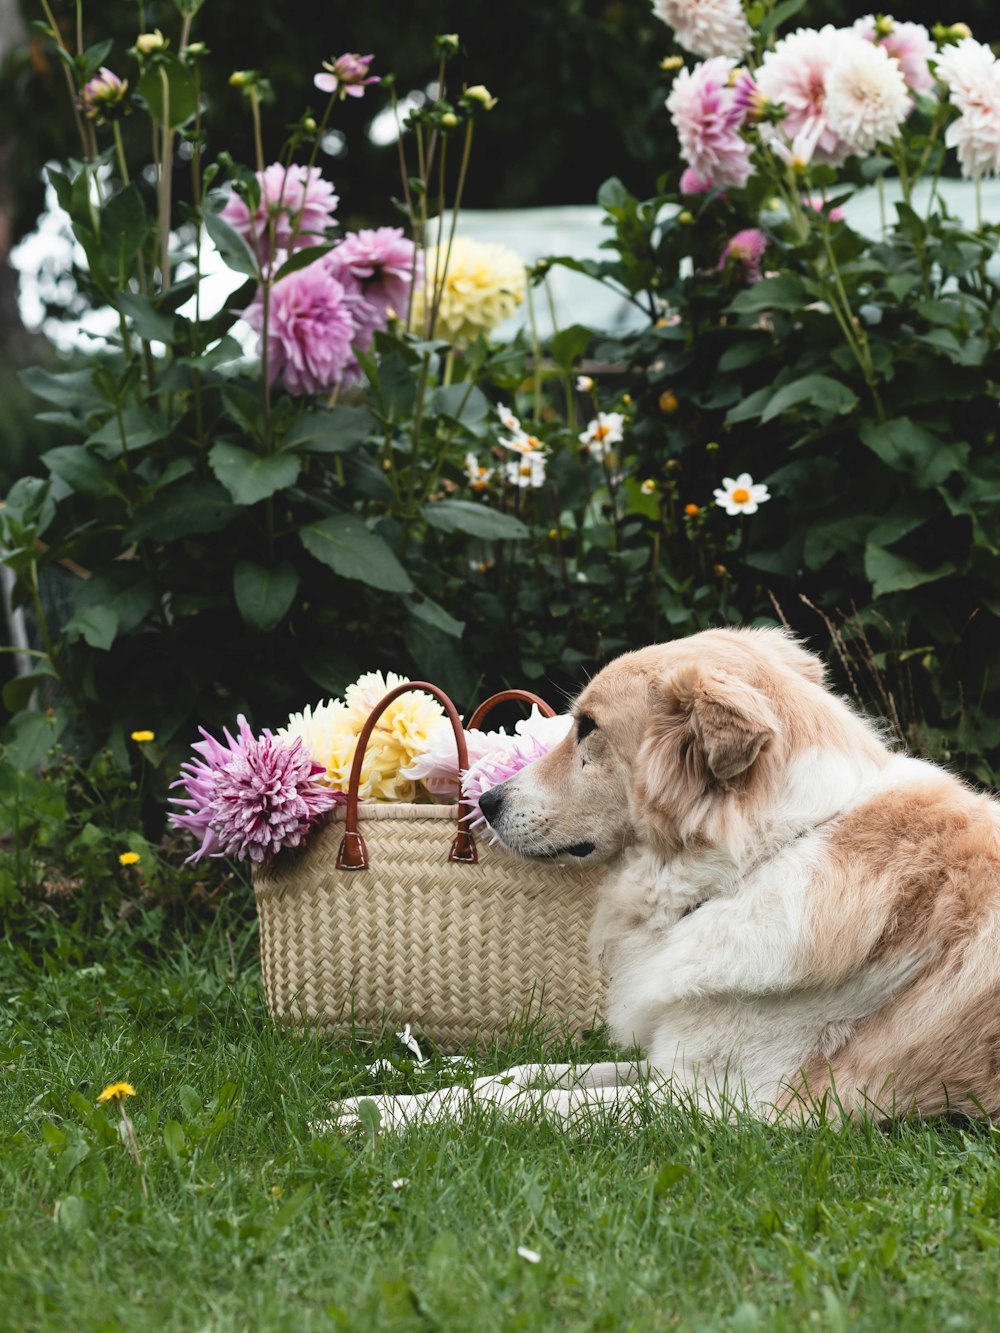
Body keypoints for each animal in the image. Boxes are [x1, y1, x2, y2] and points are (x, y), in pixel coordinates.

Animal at [334, 629, 1000, 1130]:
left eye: (589, 728)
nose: (487, 802)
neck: (760, 857)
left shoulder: (725, 1102)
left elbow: (522, 1104)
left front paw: (380, 1119)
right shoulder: (671, 1062)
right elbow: (521, 1077)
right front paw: (389, 1096)